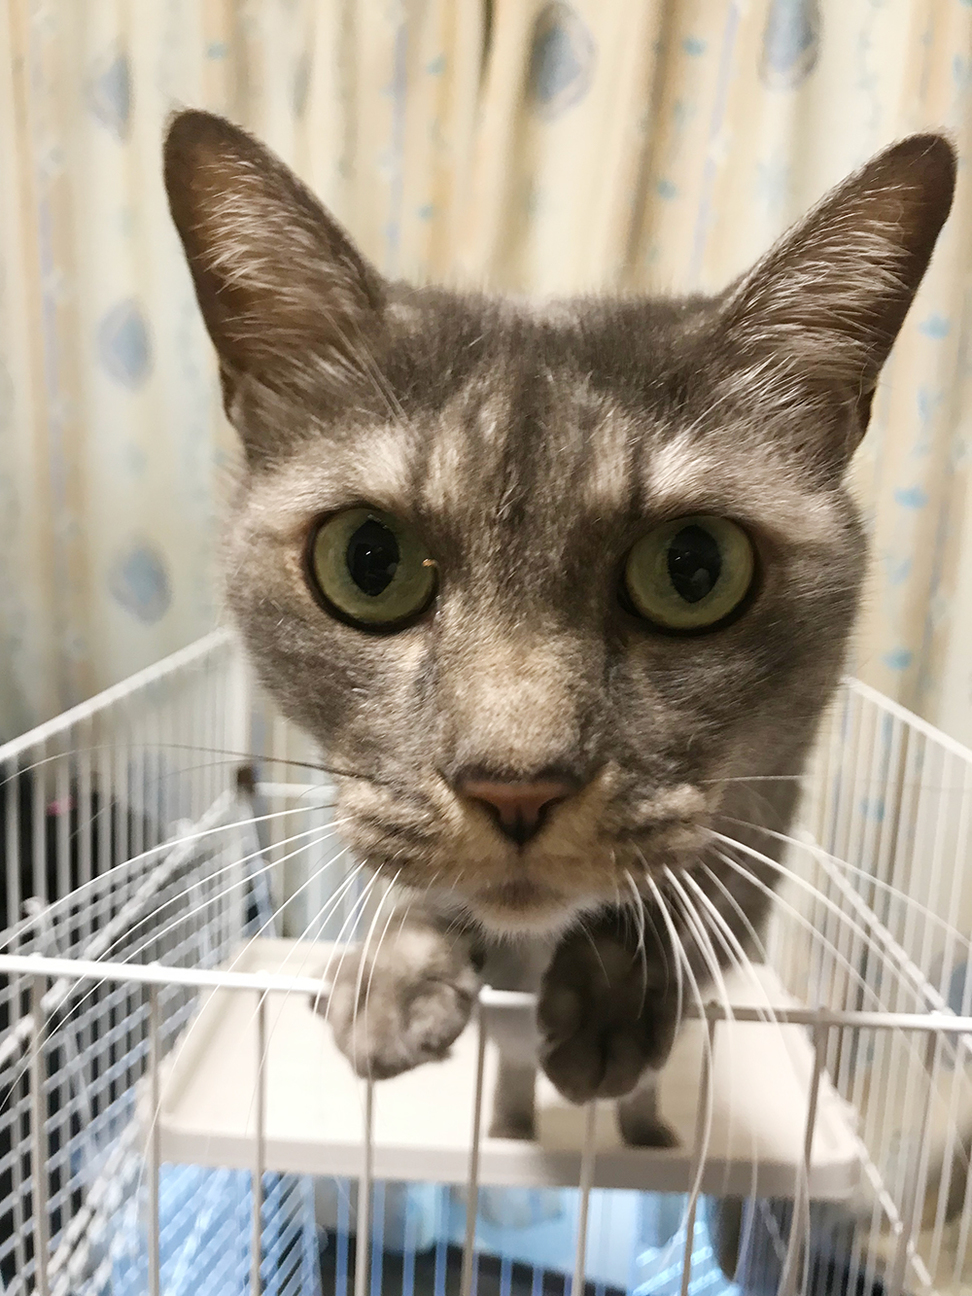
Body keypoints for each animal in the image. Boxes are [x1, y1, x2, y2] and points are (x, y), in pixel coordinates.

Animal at [162, 109, 955, 1147]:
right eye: (367, 560)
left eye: (695, 567)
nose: (516, 787)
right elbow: (414, 886)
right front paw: (391, 977)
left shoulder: (766, 823)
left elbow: (690, 898)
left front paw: (612, 1002)